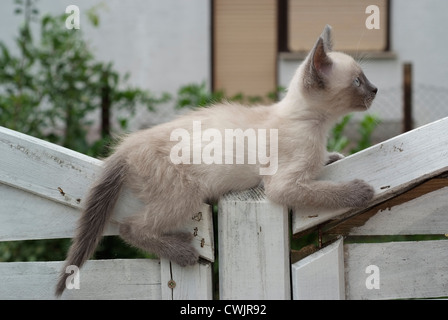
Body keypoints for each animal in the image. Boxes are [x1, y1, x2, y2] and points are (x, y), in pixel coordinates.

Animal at [55, 25, 378, 298]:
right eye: (358, 81)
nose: (374, 90)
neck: (313, 123)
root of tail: (125, 147)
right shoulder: (284, 184)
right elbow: (323, 189)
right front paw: (361, 191)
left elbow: (325, 164)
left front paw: (334, 156)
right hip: (184, 195)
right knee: (130, 228)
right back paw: (182, 251)